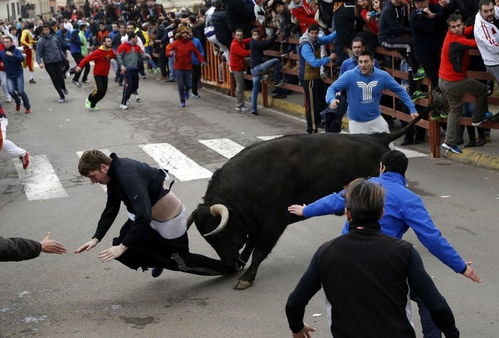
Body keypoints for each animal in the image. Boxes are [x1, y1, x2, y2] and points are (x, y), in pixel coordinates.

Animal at [188, 109, 434, 290]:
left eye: (222, 234)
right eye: (210, 239)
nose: (229, 265)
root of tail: (377, 138)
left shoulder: (273, 223)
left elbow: (259, 250)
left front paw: (246, 277)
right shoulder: (255, 224)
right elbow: (250, 244)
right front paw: (242, 263)